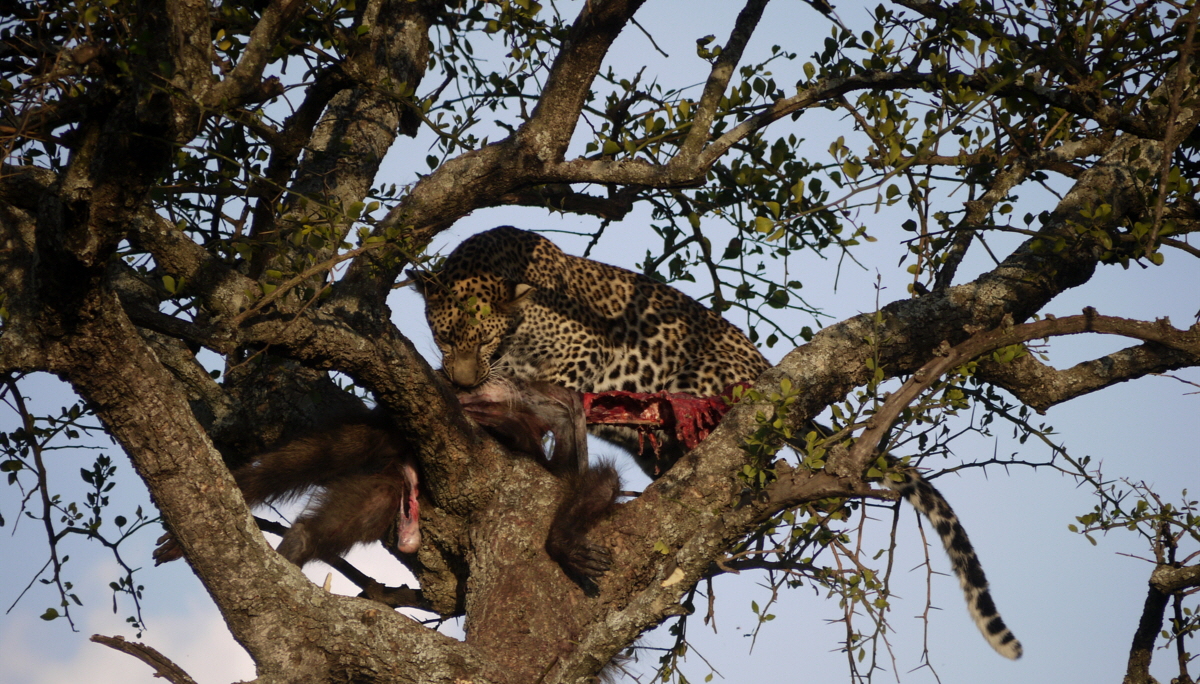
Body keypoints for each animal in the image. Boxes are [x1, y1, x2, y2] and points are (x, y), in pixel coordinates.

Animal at [412, 223, 1022, 652]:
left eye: (482, 337)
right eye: (443, 335)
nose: (462, 377)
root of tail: (764, 368)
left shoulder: (583, 352)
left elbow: (559, 396)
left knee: (754, 467)